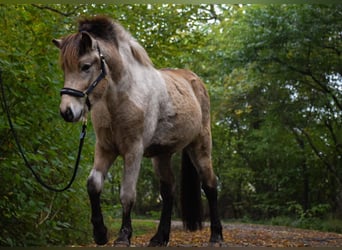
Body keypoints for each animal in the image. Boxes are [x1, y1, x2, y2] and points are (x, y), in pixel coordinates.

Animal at [52, 16, 223, 248]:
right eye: (64, 68)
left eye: (85, 66)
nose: (67, 111)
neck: (123, 97)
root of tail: (195, 81)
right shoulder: (105, 148)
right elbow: (93, 184)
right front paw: (100, 233)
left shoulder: (133, 151)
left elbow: (127, 193)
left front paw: (123, 236)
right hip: (162, 155)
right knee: (168, 191)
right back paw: (160, 237)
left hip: (200, 147)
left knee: (210, 185)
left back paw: (216, 236)